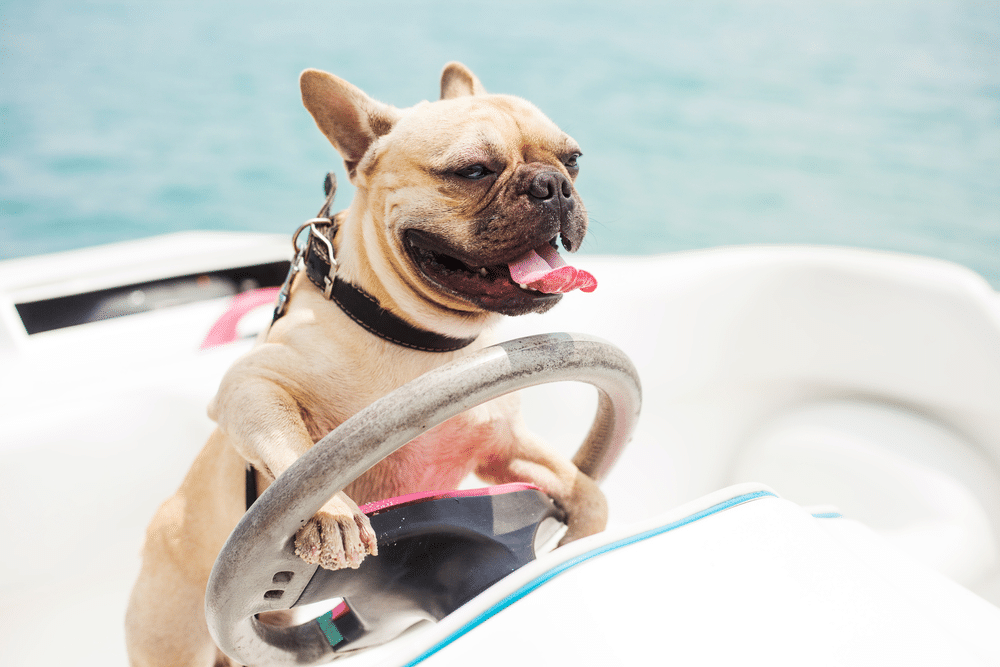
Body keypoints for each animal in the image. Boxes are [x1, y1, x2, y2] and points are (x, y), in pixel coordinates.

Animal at [127, 62, 608, 667]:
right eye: (473, 171)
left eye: (574, 160)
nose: (554, 185)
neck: (423, 342)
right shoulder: (252, 386)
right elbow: (294, 450)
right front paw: (330, 511)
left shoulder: (501, 446)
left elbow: (579, 484)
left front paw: (585, 530)